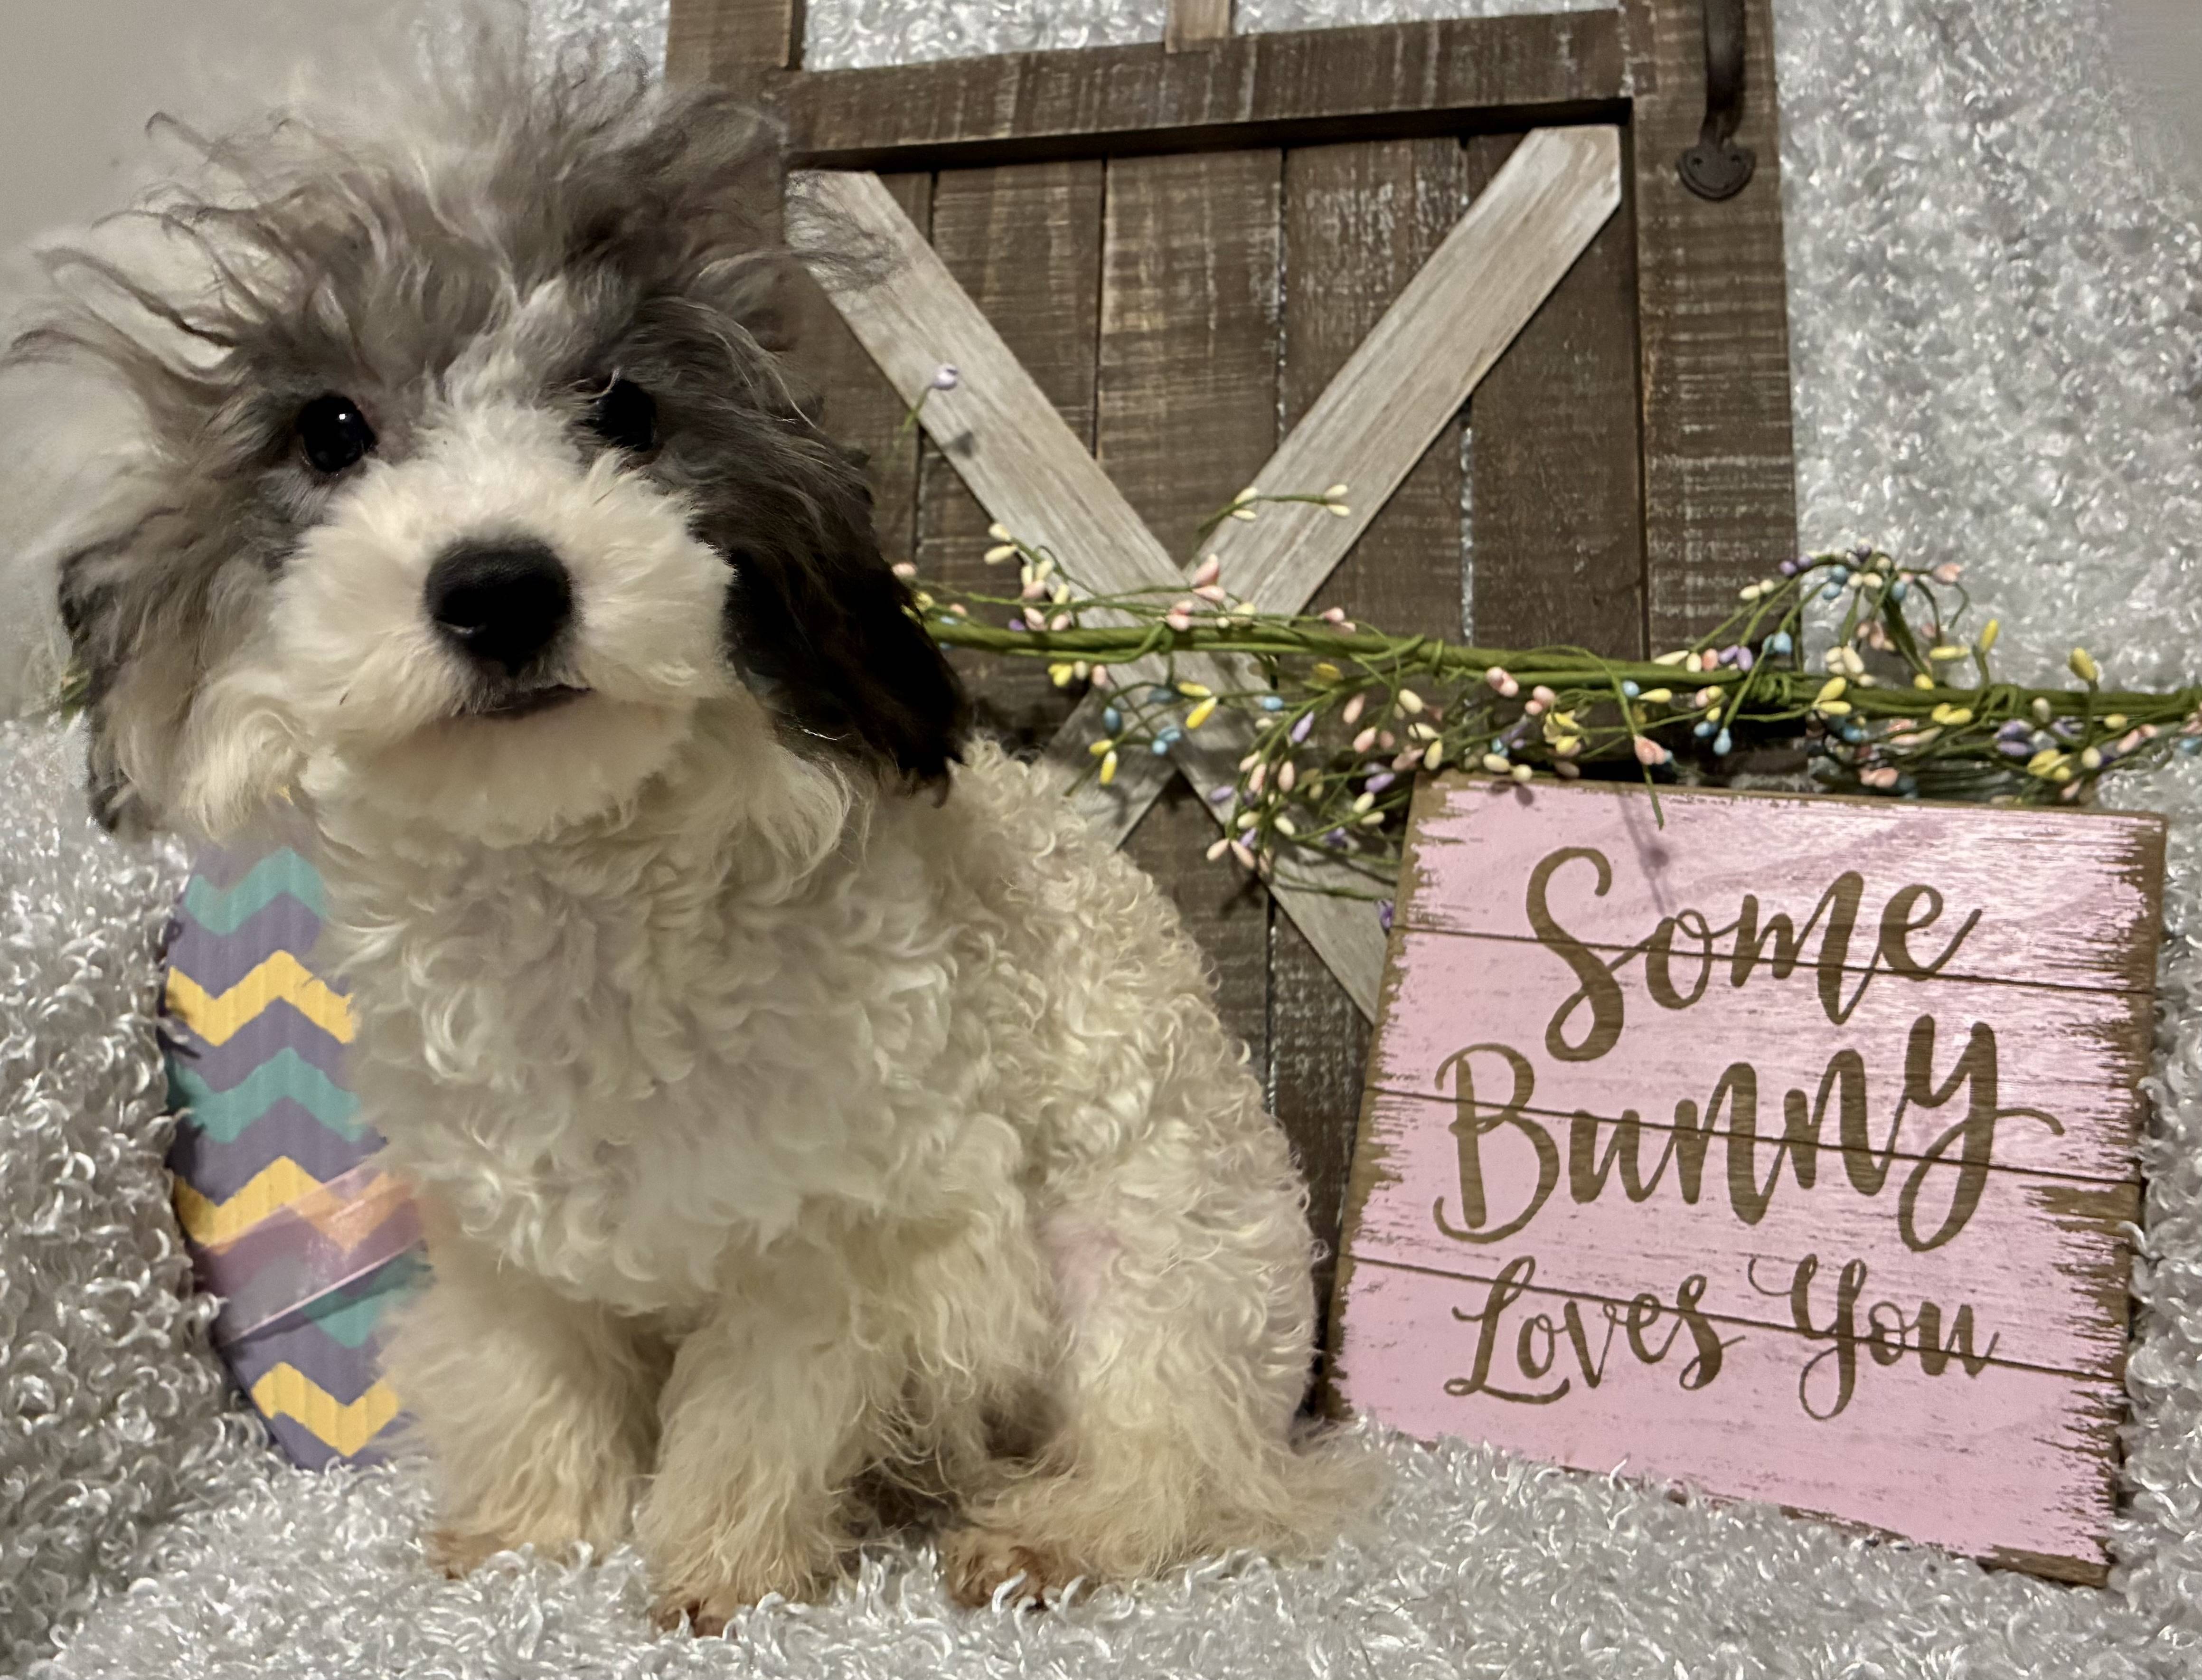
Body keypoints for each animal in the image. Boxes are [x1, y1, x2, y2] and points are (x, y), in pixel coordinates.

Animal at [11, 36, 1368, 1628]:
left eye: (623, 411)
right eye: (330, 431)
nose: (500, 588)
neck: (574, 869)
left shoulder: (837, 1235)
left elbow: (757, 1408)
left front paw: (718, 1573)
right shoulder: (506, 1242)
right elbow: (537, 1379)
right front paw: (531, 1542)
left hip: (1145, 1269)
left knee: (1187, 1468)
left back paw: (1054, 1531)